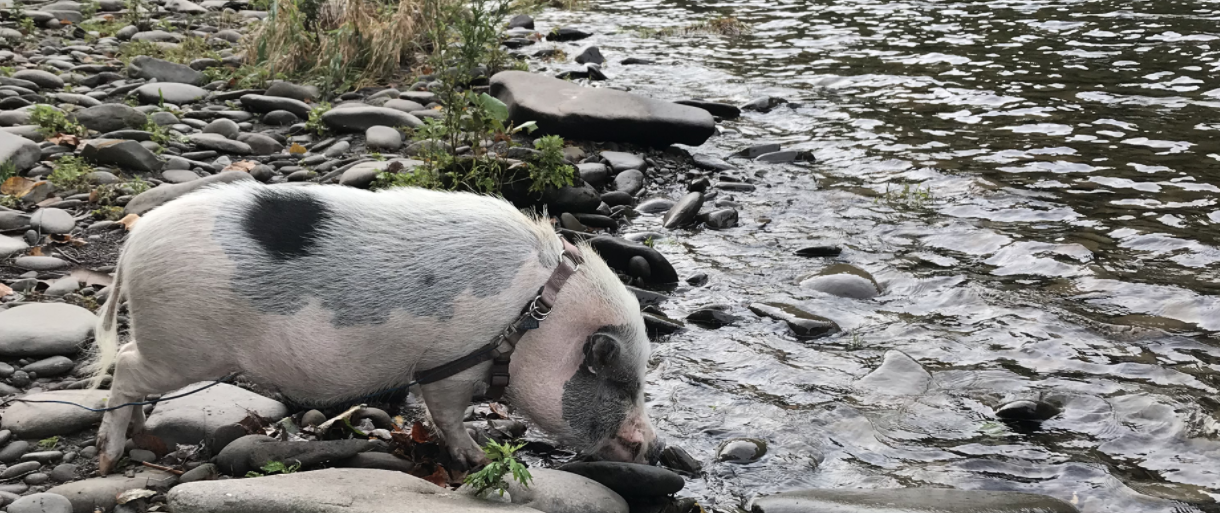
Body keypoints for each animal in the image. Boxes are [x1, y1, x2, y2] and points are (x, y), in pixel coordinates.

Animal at [88, 181, 658, 473]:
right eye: (621, 383)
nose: (649, 445)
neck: (532, 316)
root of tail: (131, 246)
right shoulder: (446, 367)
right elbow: (447, 416)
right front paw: (475, 457)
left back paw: (141, 437)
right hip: (181, 345)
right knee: (125, 369)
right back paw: (109, 459)